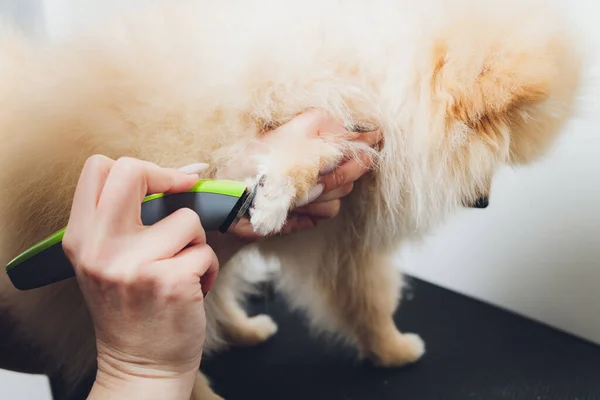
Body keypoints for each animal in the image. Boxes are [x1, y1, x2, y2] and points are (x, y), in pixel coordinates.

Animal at [0, 0, 584, 398]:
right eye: (491, 152)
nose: (483, 204)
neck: (375, 69)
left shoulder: (346, 233)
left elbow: (367, 300)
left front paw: (390, 350)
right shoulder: (299, 102)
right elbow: (299, 148)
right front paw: (280, 193)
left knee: (214, 299)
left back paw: (246, 330)